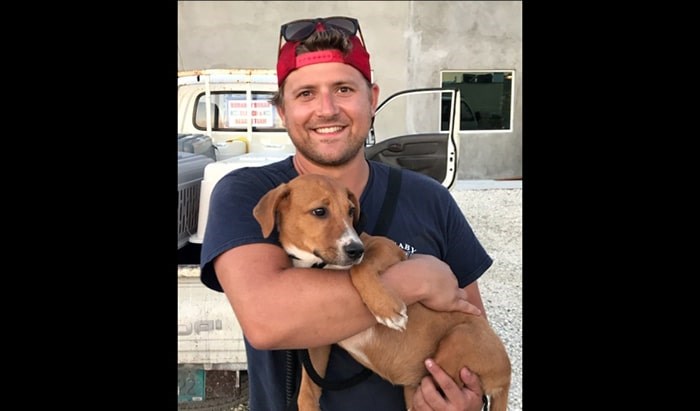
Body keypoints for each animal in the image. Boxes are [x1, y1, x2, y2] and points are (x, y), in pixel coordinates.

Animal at [254, 175, 512, 411]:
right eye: (319, 211)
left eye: (350, 211)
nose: (356, 250)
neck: (320, 264)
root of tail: (506, 376)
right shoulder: (318, 343)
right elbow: (307, 390)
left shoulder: (386, 247)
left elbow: (360, 268)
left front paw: (387, 309)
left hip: (457, 343)